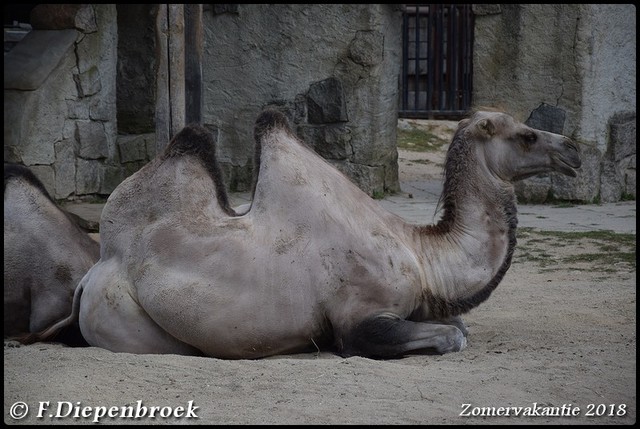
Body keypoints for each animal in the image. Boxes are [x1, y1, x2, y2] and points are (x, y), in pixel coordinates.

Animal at [27, 108, 584, 356]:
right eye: (526, 135)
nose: (575, 149)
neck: (422, 256)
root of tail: (92, 276)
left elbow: (460, 326)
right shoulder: (357, 318)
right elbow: (451, 336)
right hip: (127, 321)